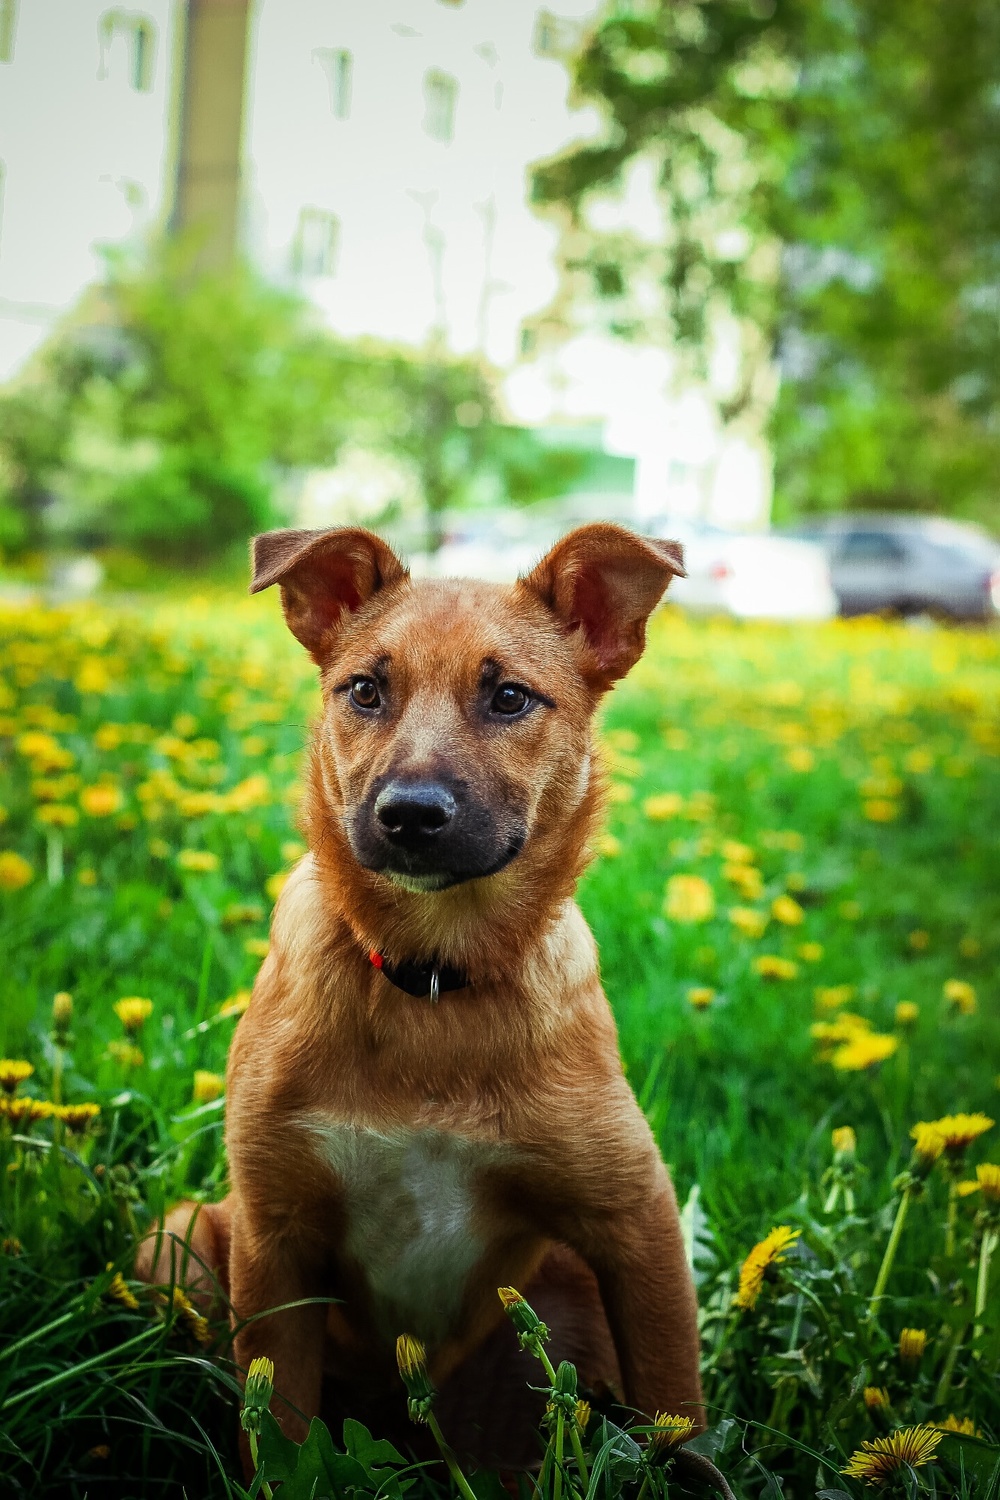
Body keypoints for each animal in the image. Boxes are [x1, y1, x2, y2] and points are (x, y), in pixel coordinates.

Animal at [140, 522, 704, 1470]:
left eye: (510, 698)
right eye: (365, 691)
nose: (409, 814)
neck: (434, 981)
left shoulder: (637, 1226)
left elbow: (681, 1423)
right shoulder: (275, 1240)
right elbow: (280, 1440)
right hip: (178, 1238)